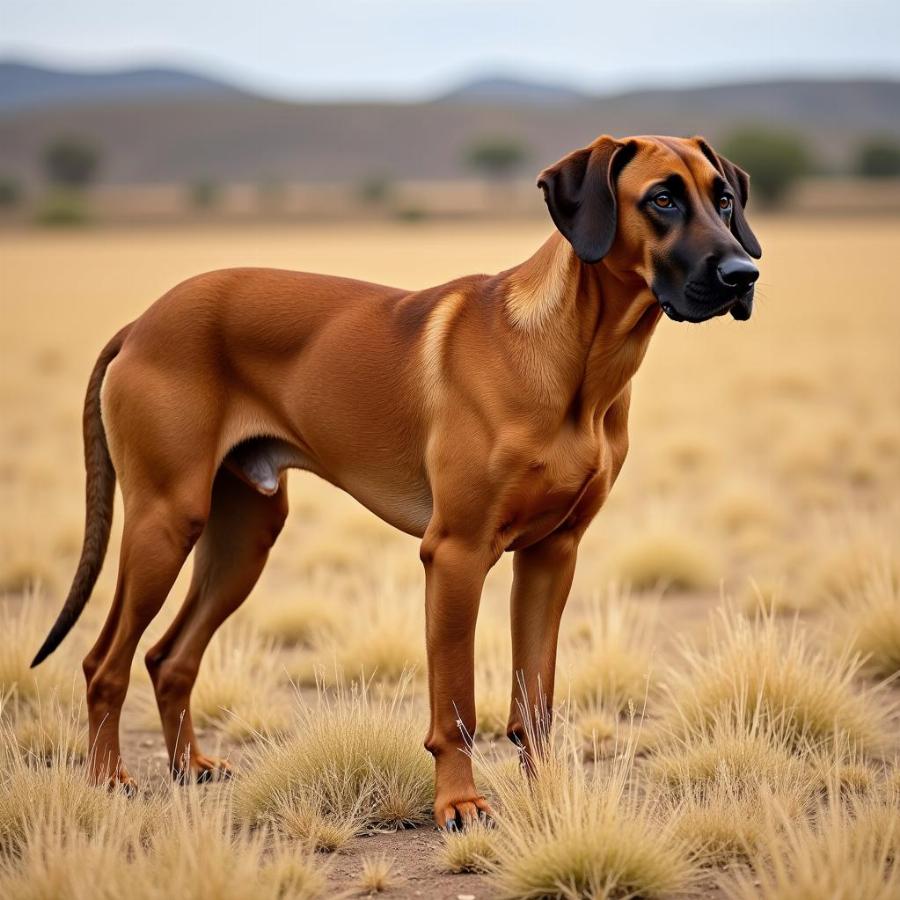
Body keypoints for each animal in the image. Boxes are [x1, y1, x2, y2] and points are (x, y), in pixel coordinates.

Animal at [29, 134, 760, 828]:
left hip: (244, 536)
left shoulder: (553, 555)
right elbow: (457, 706)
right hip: (165, 520)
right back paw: (108, 780)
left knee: (169, 657)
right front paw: (460, 806)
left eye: (724, 200)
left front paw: (549, 798)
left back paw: (190, 768)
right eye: (661, 199)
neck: (578, 361)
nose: (744, 273)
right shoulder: (457, 554)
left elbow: (536, 701)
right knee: (104, 662)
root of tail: (142, 322)